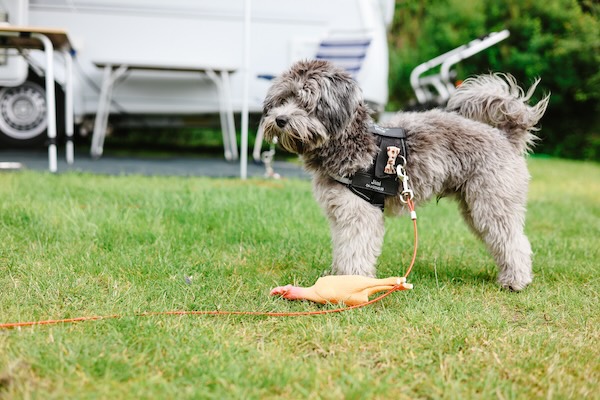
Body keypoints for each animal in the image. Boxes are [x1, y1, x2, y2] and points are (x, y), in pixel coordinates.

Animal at [262, 59, 548, 290]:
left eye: (306, 102)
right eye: (283, 99)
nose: (280, 120)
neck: (350, 142)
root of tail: (505, 136)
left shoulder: (360, 212)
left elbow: (355, 250)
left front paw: (352, 282)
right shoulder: (341, 212)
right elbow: (343, 249)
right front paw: (338, 277)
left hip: (492, 203)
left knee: (514, 241)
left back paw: (516, 281)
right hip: (476, 206)